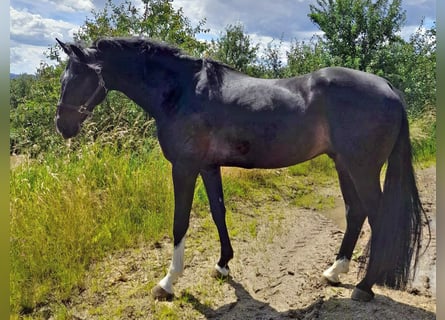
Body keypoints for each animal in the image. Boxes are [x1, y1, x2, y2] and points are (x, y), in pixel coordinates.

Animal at [54, 37, 426, 302]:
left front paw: (168, 282)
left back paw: (364, 286)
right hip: (344, 164)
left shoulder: (184, 167)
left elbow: (180, 222)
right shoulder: (208, 166)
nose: (62, 125)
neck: (182, 92)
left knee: (377, 218)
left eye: (78, 77)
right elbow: (218, 212)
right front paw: (222, 265)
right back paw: (335, 272)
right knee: (355, 212)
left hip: (362, 168)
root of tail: (389, 88)